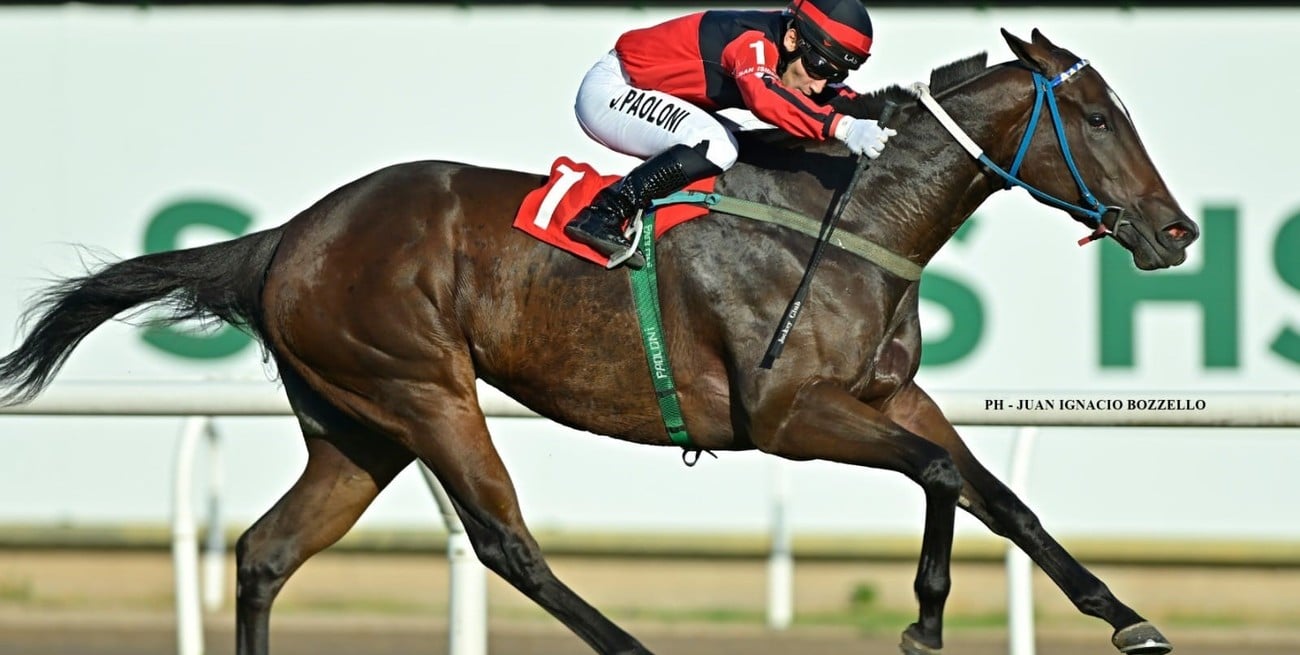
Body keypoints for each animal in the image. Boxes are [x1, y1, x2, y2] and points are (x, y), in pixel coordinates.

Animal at [0, 29, 1196, 655]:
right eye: (1097, 118)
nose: (1178, 230)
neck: (848, 215)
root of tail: (289, 235)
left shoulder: (889, 396)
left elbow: (999, 496)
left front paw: (1126, 618)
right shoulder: (788, 416)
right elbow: (944, 476)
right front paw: (925, 625)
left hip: (356, 423)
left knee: (264, 550)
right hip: (425, 390)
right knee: (503, 542)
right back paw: (629, 646)